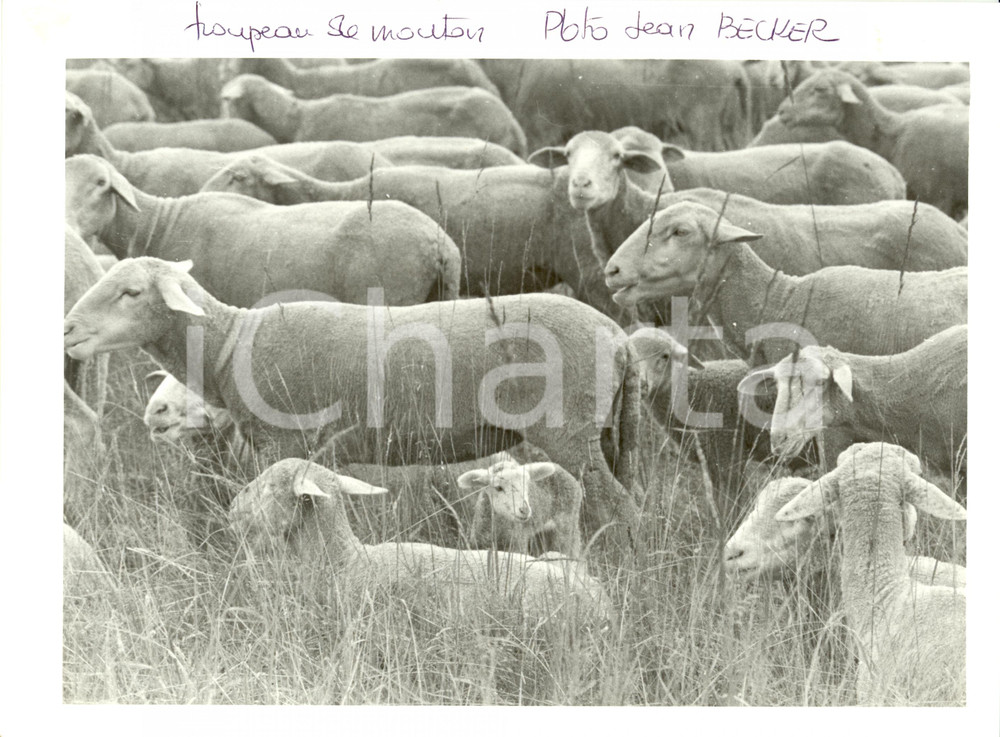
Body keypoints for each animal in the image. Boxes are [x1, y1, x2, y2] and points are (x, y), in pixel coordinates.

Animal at [64, 258, 645, 559]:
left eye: (131, 292)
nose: (67, 329)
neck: (231, 342)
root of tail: (619, 338)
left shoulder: (284, 441)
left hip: (567, 431)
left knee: (616, 504)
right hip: (603, 432)